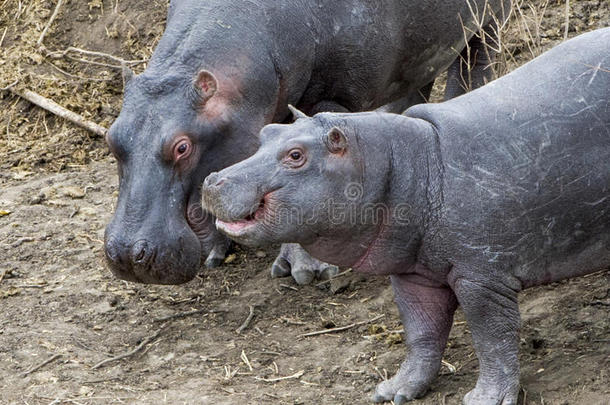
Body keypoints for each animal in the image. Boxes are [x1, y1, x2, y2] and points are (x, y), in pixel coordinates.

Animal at [102, 0, 506, 284]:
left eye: (182, 146)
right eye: (111, 137)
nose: (126, 255)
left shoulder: (333, 96)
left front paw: (306, 270)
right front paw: (218, 251)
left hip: (486, 21)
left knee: (474, 63)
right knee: (413, 85)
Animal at [202, 29, 608, 404]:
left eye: (296, 155)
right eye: (268, 131)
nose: (211, 180)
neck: (418, 161)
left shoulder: (482, 277)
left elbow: (491, 337)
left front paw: (484, 398)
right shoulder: (414, 274)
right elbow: (421, 332)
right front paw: (392, 391)